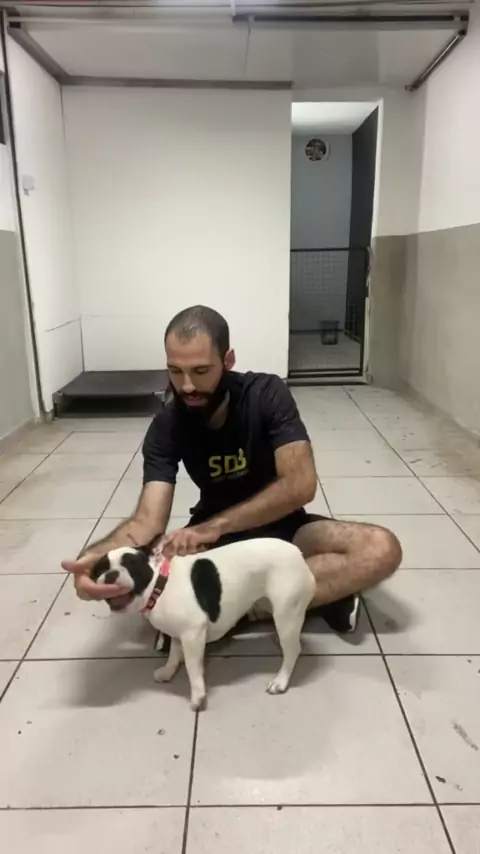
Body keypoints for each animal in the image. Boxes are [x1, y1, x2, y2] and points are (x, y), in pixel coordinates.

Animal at [91, 538, 315, 710]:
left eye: (130, 564)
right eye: (100, 569)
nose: (110, 574)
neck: (159, 586)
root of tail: (298, 555)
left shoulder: (193, 634)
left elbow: (192, 667)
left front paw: (198, 695)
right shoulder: (177, 633)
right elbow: (174, 653)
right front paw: (168, 671)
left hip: (286, 611)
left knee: (293, 650)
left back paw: (280, 681)